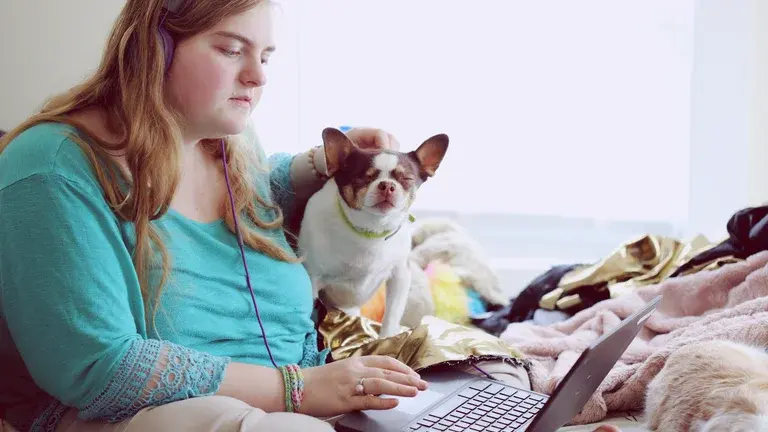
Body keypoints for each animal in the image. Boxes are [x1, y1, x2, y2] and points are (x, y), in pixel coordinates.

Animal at [296, 126, 448, 340]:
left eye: (406, 179)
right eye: (364, 177)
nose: (387, 185)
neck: (370, 232)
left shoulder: (400, 277)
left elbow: (391, 316)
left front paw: (386, 340)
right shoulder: (313, 279)